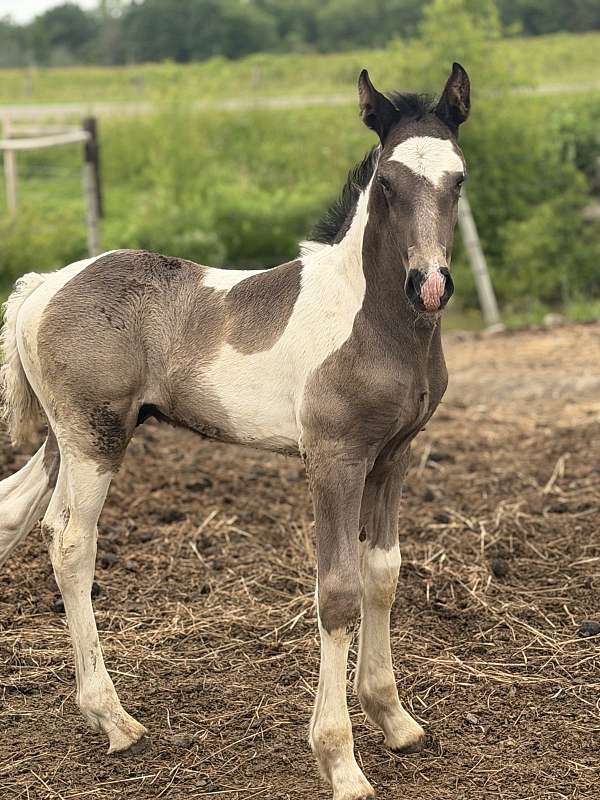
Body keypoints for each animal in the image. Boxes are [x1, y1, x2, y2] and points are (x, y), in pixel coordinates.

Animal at [0, 63, 470, 800]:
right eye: (389, 184)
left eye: (459, 180)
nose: (430, 284)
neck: (373, 322)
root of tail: (47, 284)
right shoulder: (333, 460)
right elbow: (337, 592)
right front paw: (340, 762)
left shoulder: (393, 456)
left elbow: (383, 573)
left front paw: (394, 720)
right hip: (93, 439)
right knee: (71, 542)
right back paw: (114, 720)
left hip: (61, 438)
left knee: (19, 514)